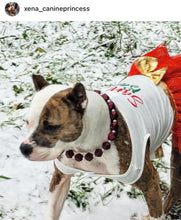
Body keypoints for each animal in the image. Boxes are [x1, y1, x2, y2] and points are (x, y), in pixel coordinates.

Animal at [19, 43, 181, 219]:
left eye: (51, 126)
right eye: (27, 122)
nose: (24, 148)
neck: (87, 147)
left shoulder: (150, 183)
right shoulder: (61, 177)